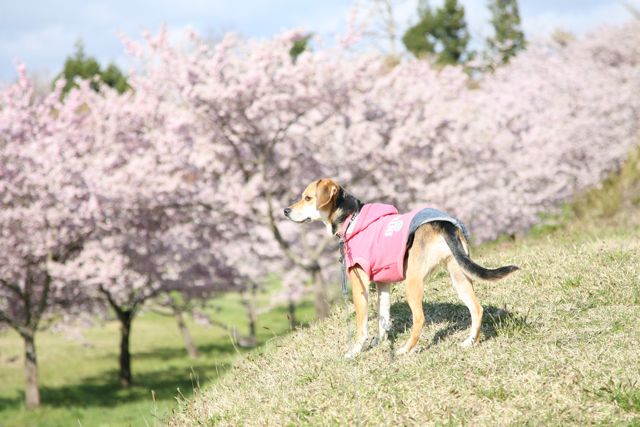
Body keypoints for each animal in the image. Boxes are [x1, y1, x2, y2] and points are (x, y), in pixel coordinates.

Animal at [282, 179, 516, 360]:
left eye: (308, 198)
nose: (285, 211)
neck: (351, 218)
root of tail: (443, 224)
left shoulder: (360, 284)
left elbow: (361, 324)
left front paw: (355, 351)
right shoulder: (383, 284)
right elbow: (383, 317)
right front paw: (380, 342)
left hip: (413, 281)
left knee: (420, 318)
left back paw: (406, 350)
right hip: (458, 274)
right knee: (477, 308)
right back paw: (469, 342)